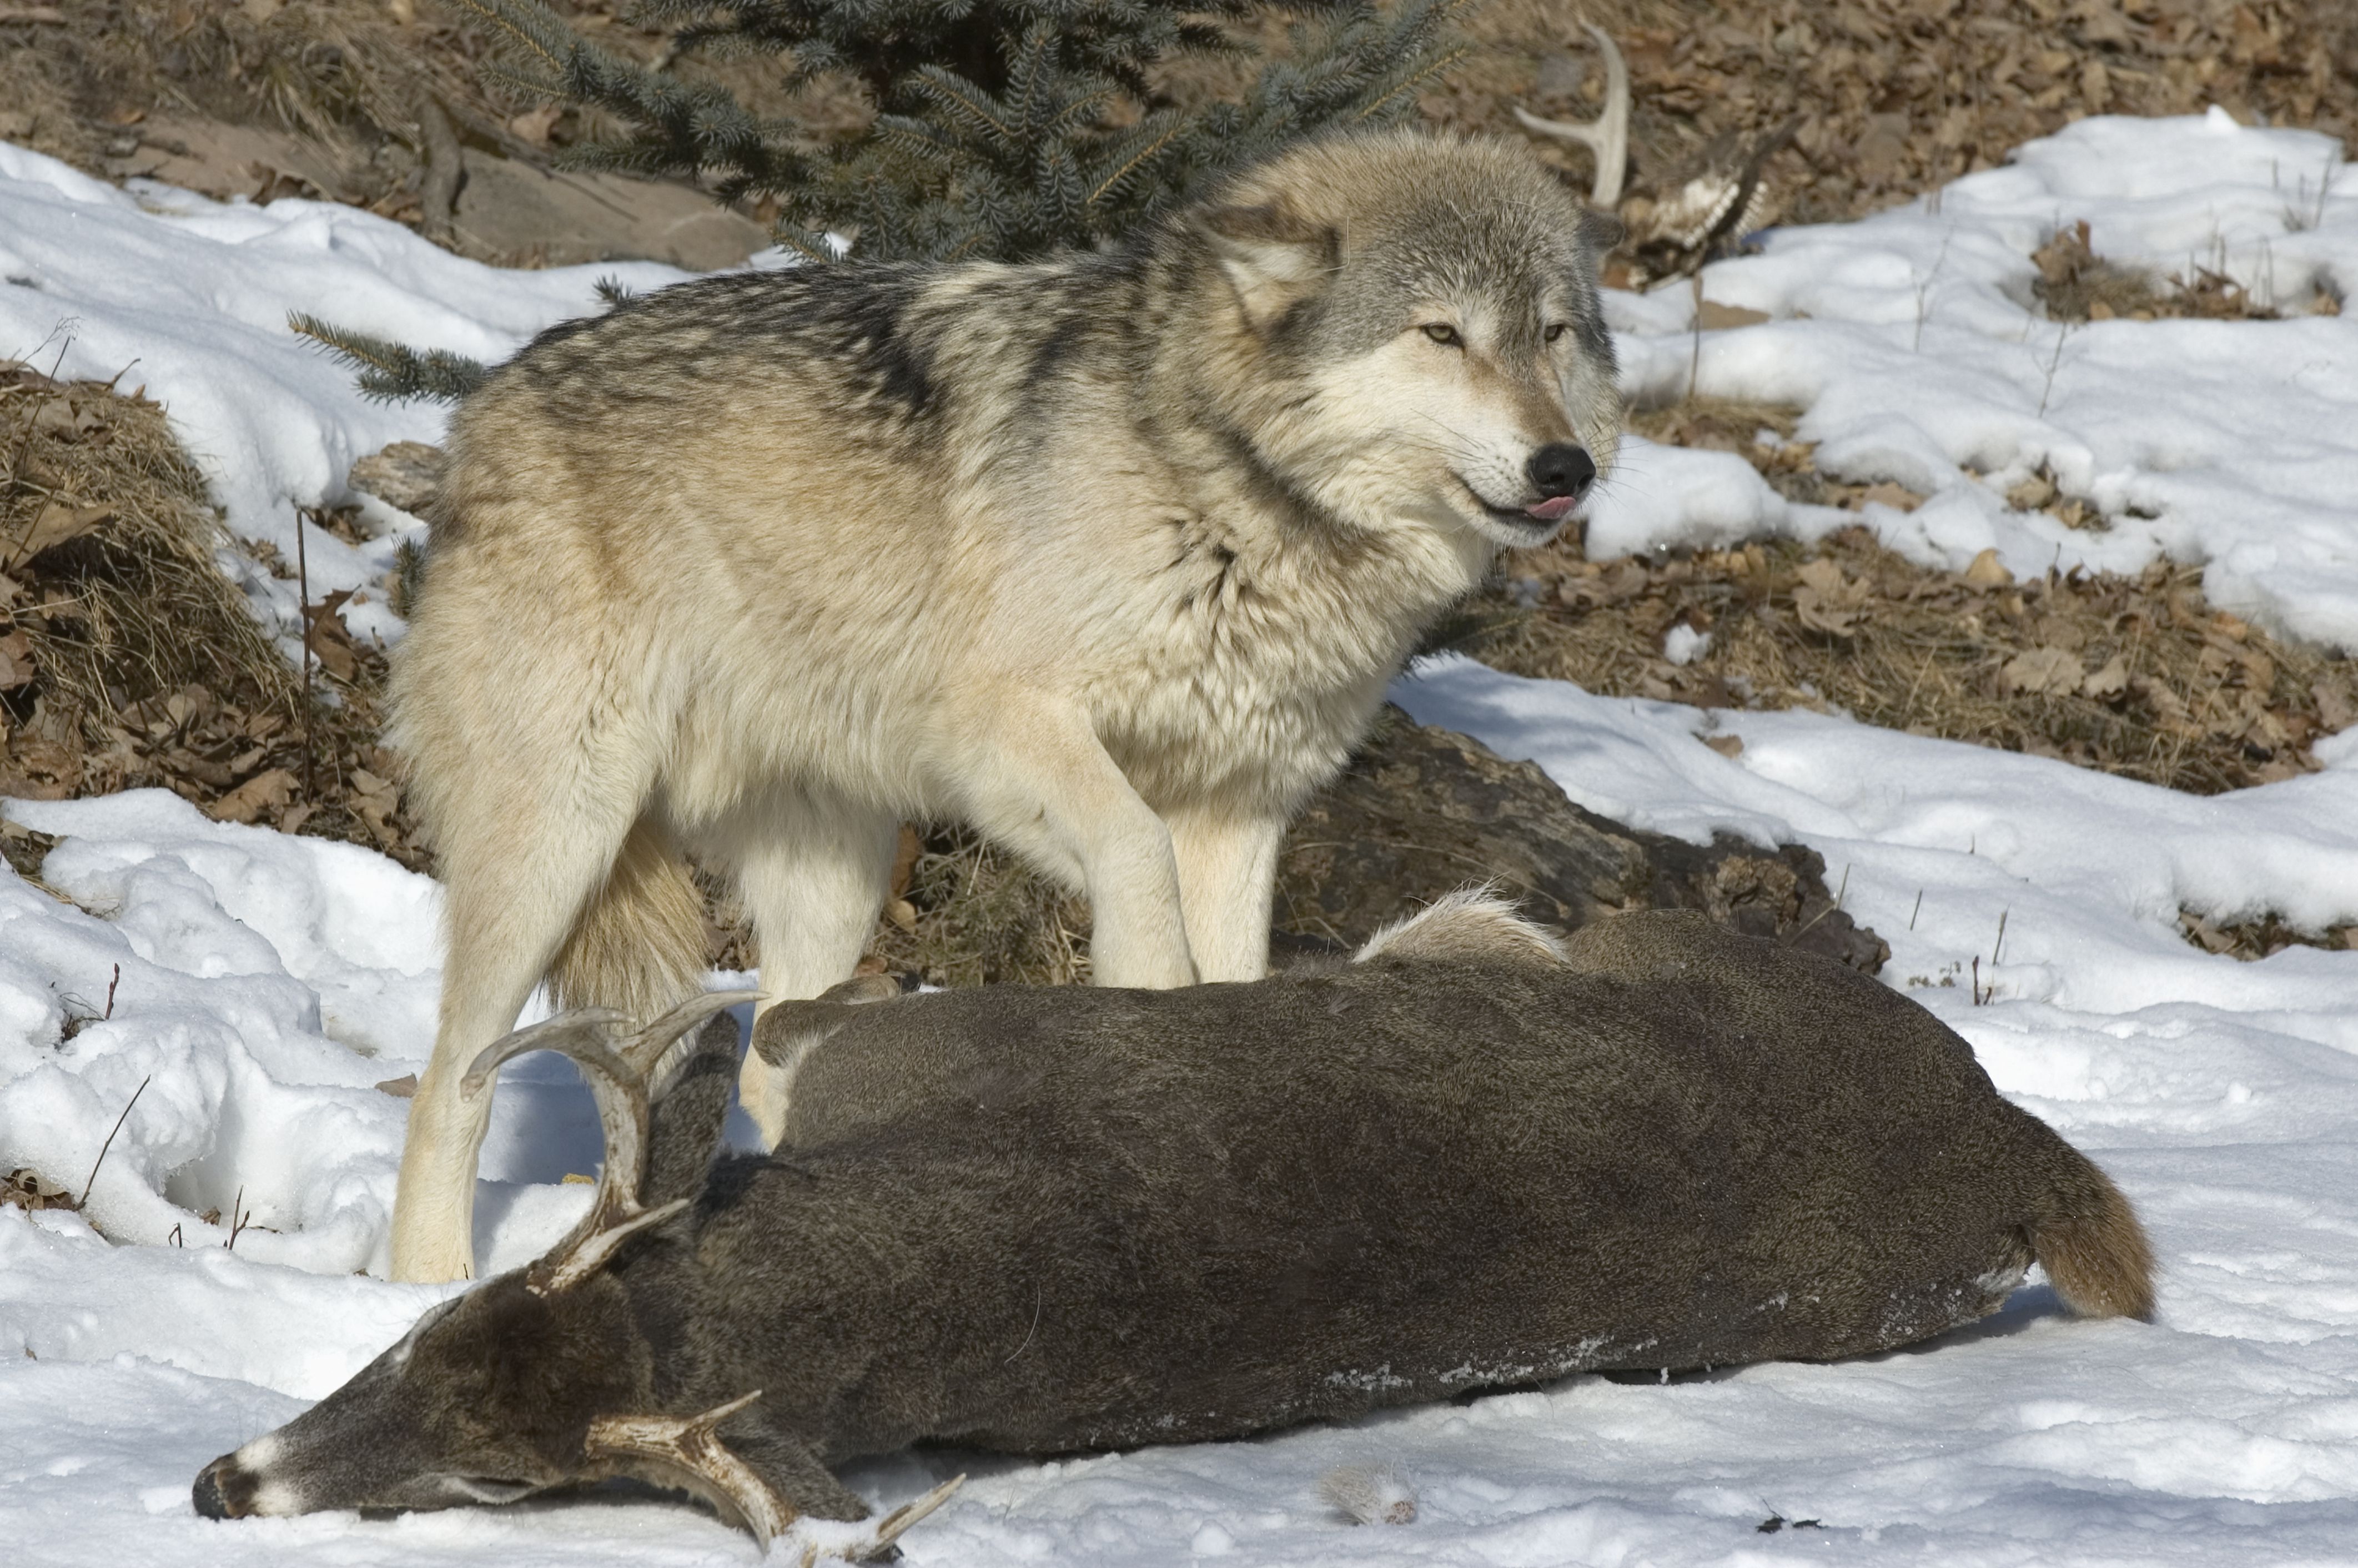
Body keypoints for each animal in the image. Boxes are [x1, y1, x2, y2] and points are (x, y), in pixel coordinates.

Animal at [386, 128, 1624, 1282]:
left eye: (1552, 333)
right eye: (1441, 334)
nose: (1564, 467)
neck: (1226, 488)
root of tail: (474, 415)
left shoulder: (1240, 807)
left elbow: (1235, 973)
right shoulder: (1009, 729)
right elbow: (1137, 869)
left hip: (832, 878)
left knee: (767, 1061)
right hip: (561, 840)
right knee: (451, 1081)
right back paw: (427, 1282)